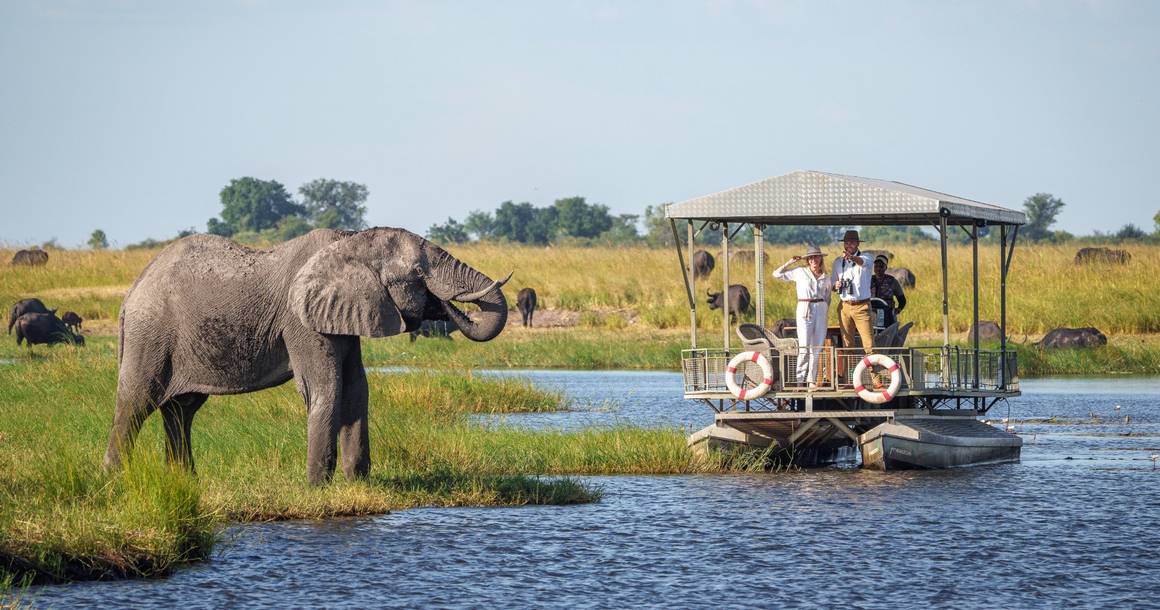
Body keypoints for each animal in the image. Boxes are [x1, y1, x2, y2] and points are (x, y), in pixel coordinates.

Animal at [103, 227, 512, 485]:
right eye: (416, 273)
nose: (448, 305)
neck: (349, 242)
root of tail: (131, 293)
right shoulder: (299, 319)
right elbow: (325, 388)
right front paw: (317, 486)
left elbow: (356, 389)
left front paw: (358, 482)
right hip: (149, 334)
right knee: (136, 403)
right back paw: (116, 480)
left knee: (181, 410)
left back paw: (186, 482)